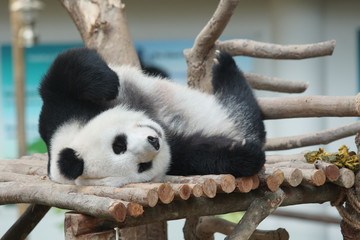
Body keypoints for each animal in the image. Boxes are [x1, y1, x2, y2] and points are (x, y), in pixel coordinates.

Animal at [38, 47, 264, 188]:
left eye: (118, 144)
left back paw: (221, 62)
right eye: (142, 166)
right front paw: (245, 154)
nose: (154, 141)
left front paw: (110, 84)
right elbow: (195, 155)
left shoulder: (59, 114)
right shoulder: (177, 156)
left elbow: (67, 69)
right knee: (244, 109)